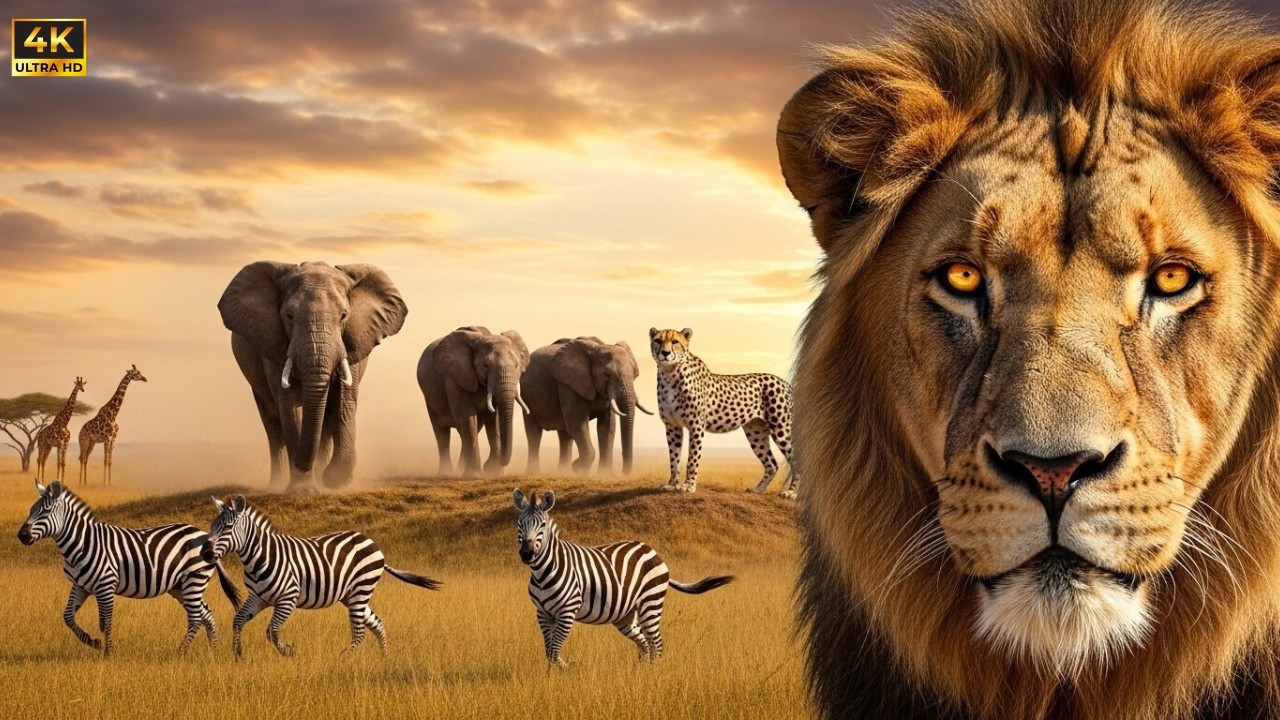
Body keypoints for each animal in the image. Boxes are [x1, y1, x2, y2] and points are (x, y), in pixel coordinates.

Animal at [218, 261, 407, 492]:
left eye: (344, 316)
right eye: (289, 316)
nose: (300, 463)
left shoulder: (352, 342)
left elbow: (344, 403)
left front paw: (331, 479)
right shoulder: (274, 346)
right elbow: (289, 410)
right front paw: (303, 490)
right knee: (273, 425)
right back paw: (277, 485)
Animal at [417, 327, 531, 476]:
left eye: (516, 365)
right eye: (485, 365)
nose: (500, 461)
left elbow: (494, 420)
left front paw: (494, 472)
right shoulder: (456, 378)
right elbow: (467, 418)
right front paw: (475, 475)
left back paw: (459, 470)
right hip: (429, 396)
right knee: (442, 432)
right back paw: (446, 473)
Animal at [521, 337, 653, 476]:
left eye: (635, 375)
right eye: (607, 375)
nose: (623, 472)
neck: (596, 349)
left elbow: (607, 427)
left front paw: (604, 475)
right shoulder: (569, 385)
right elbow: (578, 425)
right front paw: (578, 468)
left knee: (565, 434)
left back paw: (564, 472)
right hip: (526, 395)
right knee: (534, 432)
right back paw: (534, 473)